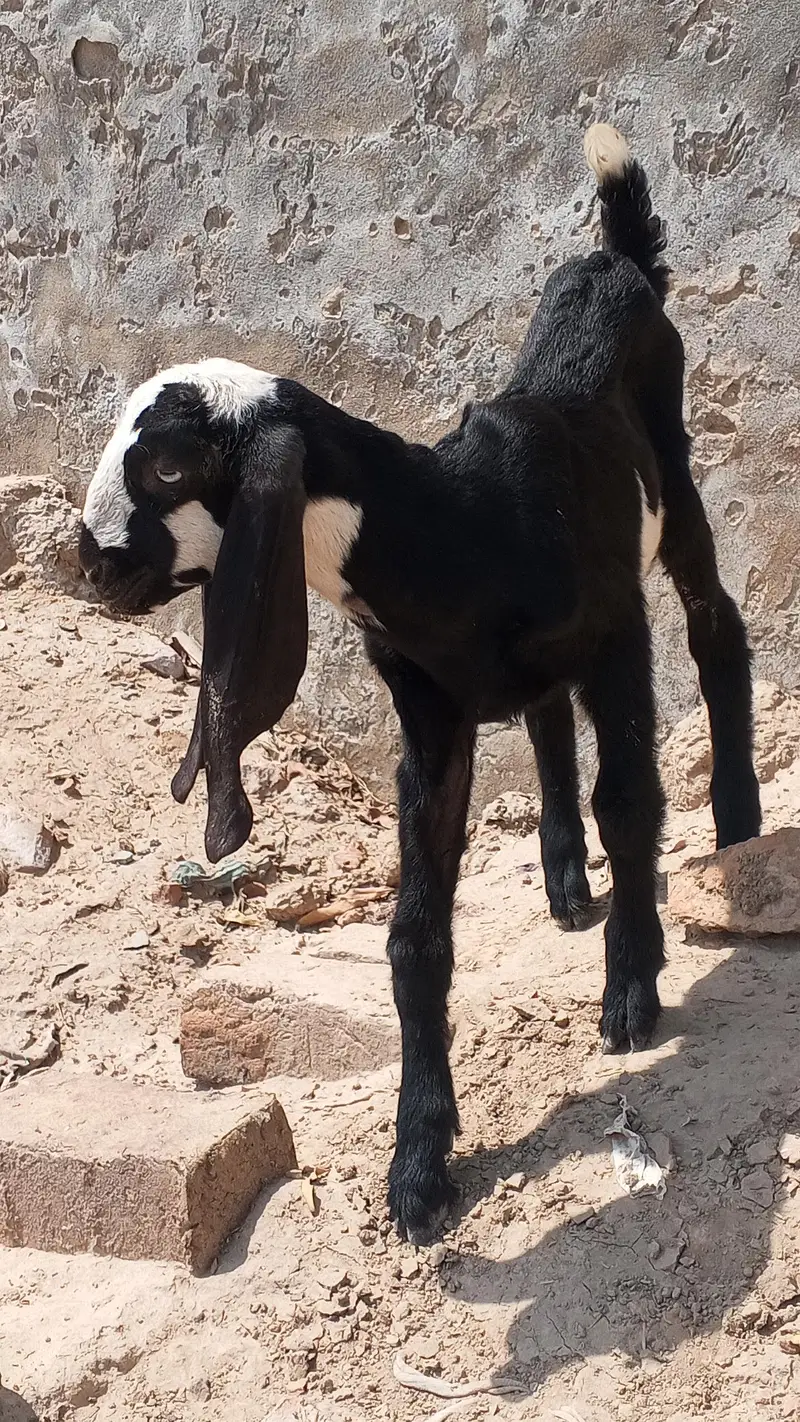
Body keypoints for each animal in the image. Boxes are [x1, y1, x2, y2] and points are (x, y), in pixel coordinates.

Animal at [79, 124, 761, 1242]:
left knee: (715, 629)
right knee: (544, 718)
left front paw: (630, 995)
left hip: (674, 474)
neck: (463, 527)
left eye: (172, 469)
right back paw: (565, 883)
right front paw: (419, 1164)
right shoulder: (429, 715)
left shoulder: (615, 634)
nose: (89, 563)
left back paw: (737, 825)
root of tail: (611, 262)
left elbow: (628, 800)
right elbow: (413, 936)